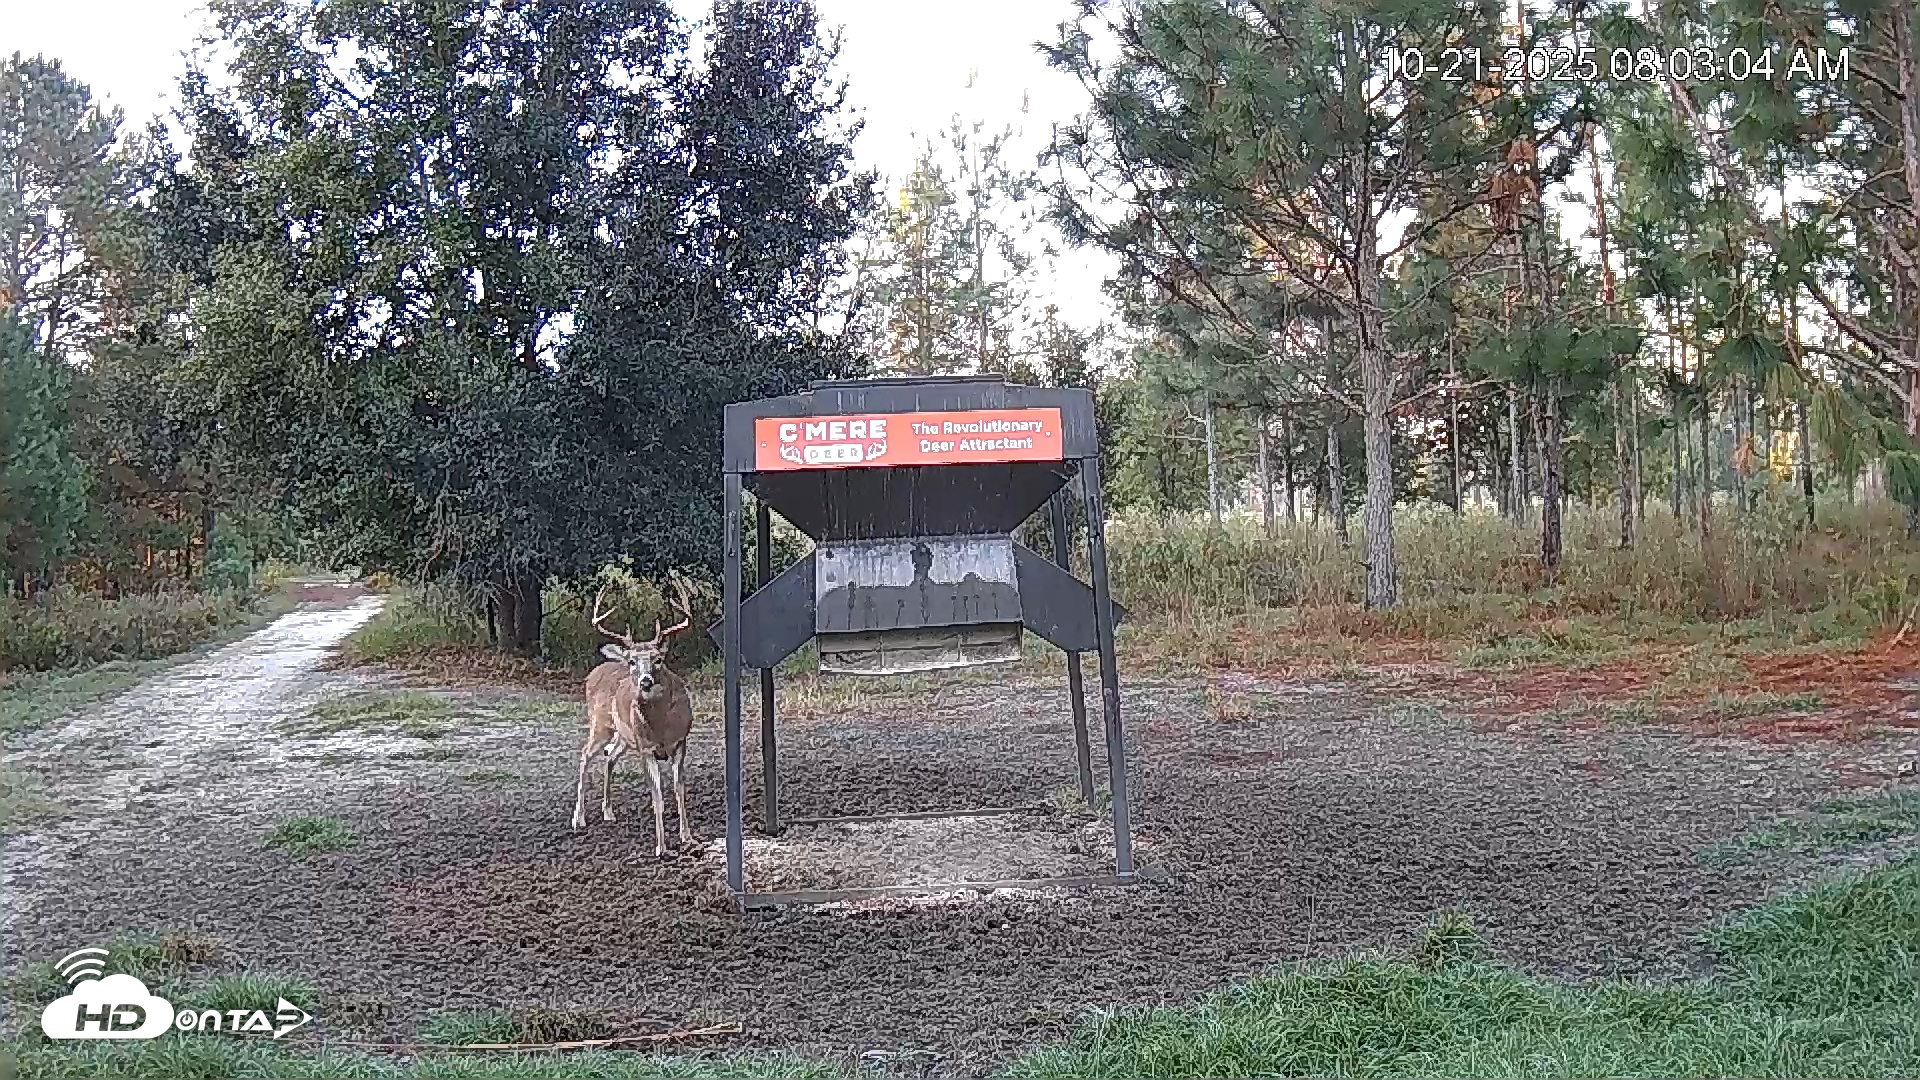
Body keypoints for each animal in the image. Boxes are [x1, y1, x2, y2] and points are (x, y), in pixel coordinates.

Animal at [571, 576, 698, 857]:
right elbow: (657, 795)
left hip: (624, 736)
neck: (661, 728)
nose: (645, 681)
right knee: (585, 754)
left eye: (658, 659)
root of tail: (594, 672)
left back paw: (608, 811)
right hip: (601, 724)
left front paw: (687, 837)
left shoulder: (681, 742)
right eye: (632, 661)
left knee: (609, 756)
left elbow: (679, 789)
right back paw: (578, 818)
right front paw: (661, 846)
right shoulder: (645, 748)